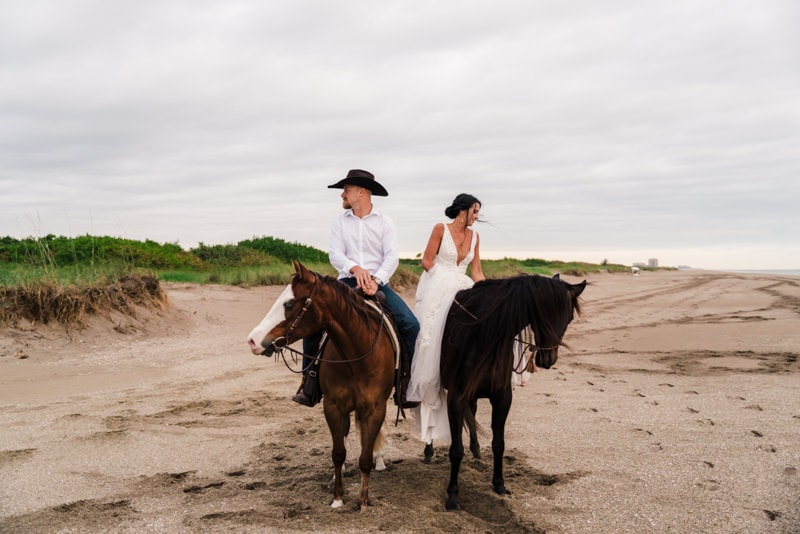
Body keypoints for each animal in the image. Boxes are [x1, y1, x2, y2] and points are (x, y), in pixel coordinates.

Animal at [244, 262, 394, 512]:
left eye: (289, 303)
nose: (253, 341)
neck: (355, 356)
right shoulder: (333, 406)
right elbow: (338, 453)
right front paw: (337, 498)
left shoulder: (375, 408)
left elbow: (364, 456)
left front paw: (363, 502)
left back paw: (379, 460)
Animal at [440, 274, 584, 512]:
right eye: (543, 315)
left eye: (569, 318)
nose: (548, 360)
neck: (482, 334)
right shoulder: (456, 397)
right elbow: (456, 450)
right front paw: (452, 495)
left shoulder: (502, 397)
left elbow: (499, 444)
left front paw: (499, 484)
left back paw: (476, 450)